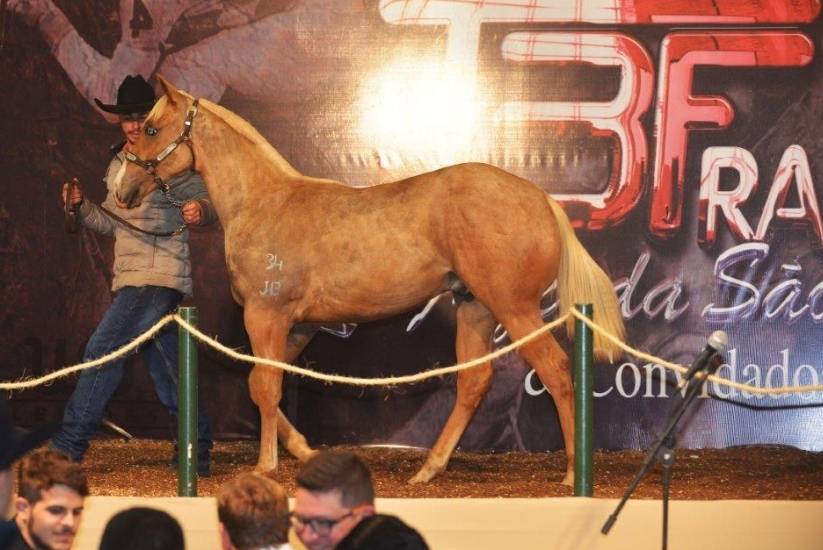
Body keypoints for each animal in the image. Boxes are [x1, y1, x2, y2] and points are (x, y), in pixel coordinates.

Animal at [114, 76, 625, 486]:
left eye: (152, 129)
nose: (122, 190)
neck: (264, 203)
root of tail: (542, 199)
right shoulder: (298, 326)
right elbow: (263, 383)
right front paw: (303, 450)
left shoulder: (266, 315)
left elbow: (265, 387)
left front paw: (266, 465)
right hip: (475, 308)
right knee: (474, 382)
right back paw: (428, 469)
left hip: (514, 308)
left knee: (555, 371)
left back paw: (571, 474)